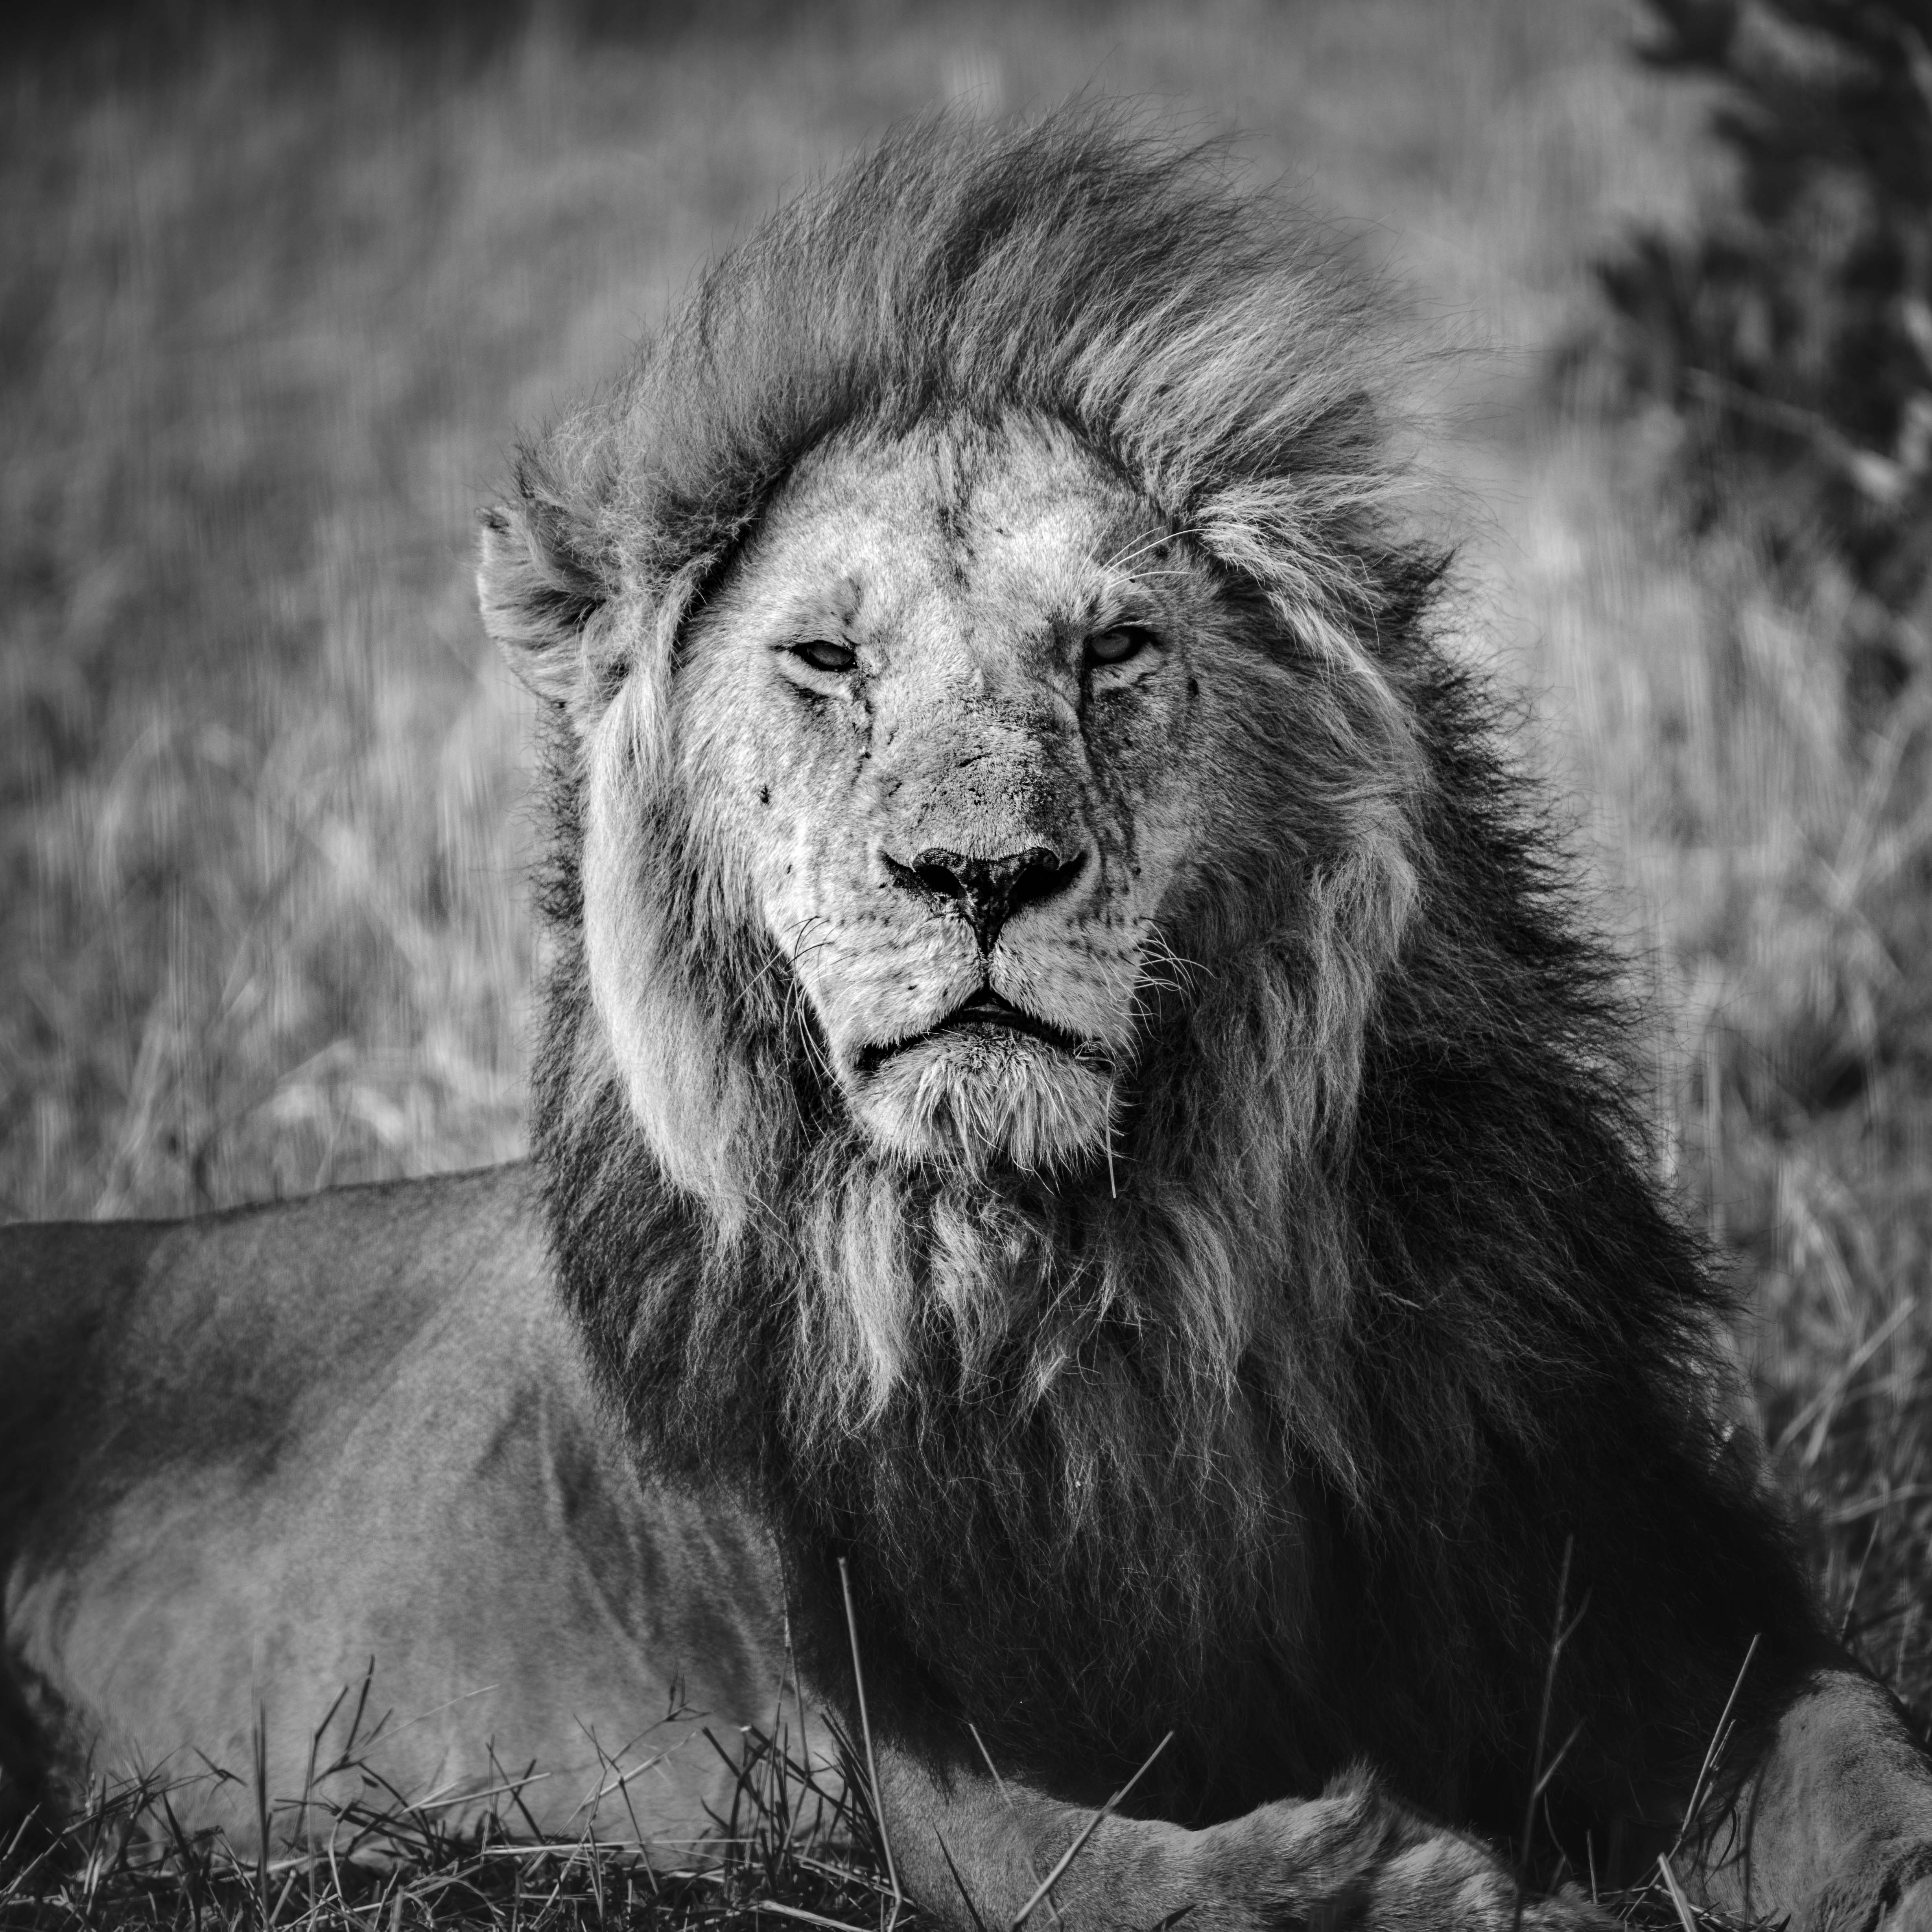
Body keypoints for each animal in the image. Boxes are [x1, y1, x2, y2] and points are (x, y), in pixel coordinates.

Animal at [7, 108, 1932, 1930]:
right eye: (824, 661)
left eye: (1112, 649)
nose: (979, 871)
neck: (1105, 1282)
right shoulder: (894, 1739)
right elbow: (1100, 1872)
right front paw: (1407, 1881)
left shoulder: (1622, 1568)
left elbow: (1858, 1757)